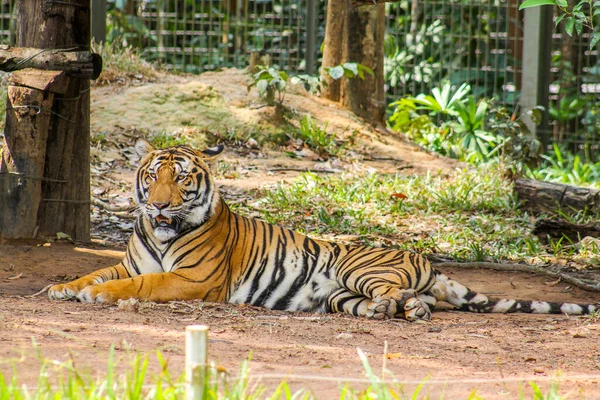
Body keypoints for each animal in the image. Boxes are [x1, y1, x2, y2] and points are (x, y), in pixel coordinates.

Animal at [48, 139, 600, 320]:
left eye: (181, 179)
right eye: (152, 176)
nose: (159, 204)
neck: (162, 233)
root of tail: (423, 257)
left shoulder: (193, 280)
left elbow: (143, 283)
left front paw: (98, 297)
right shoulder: (128, 261)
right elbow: (96, 274)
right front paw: (62, 288)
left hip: (361, 268)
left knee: (396, 293)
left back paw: (396, 310)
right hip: (340, 293)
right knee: (404, 302)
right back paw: (397, 313)